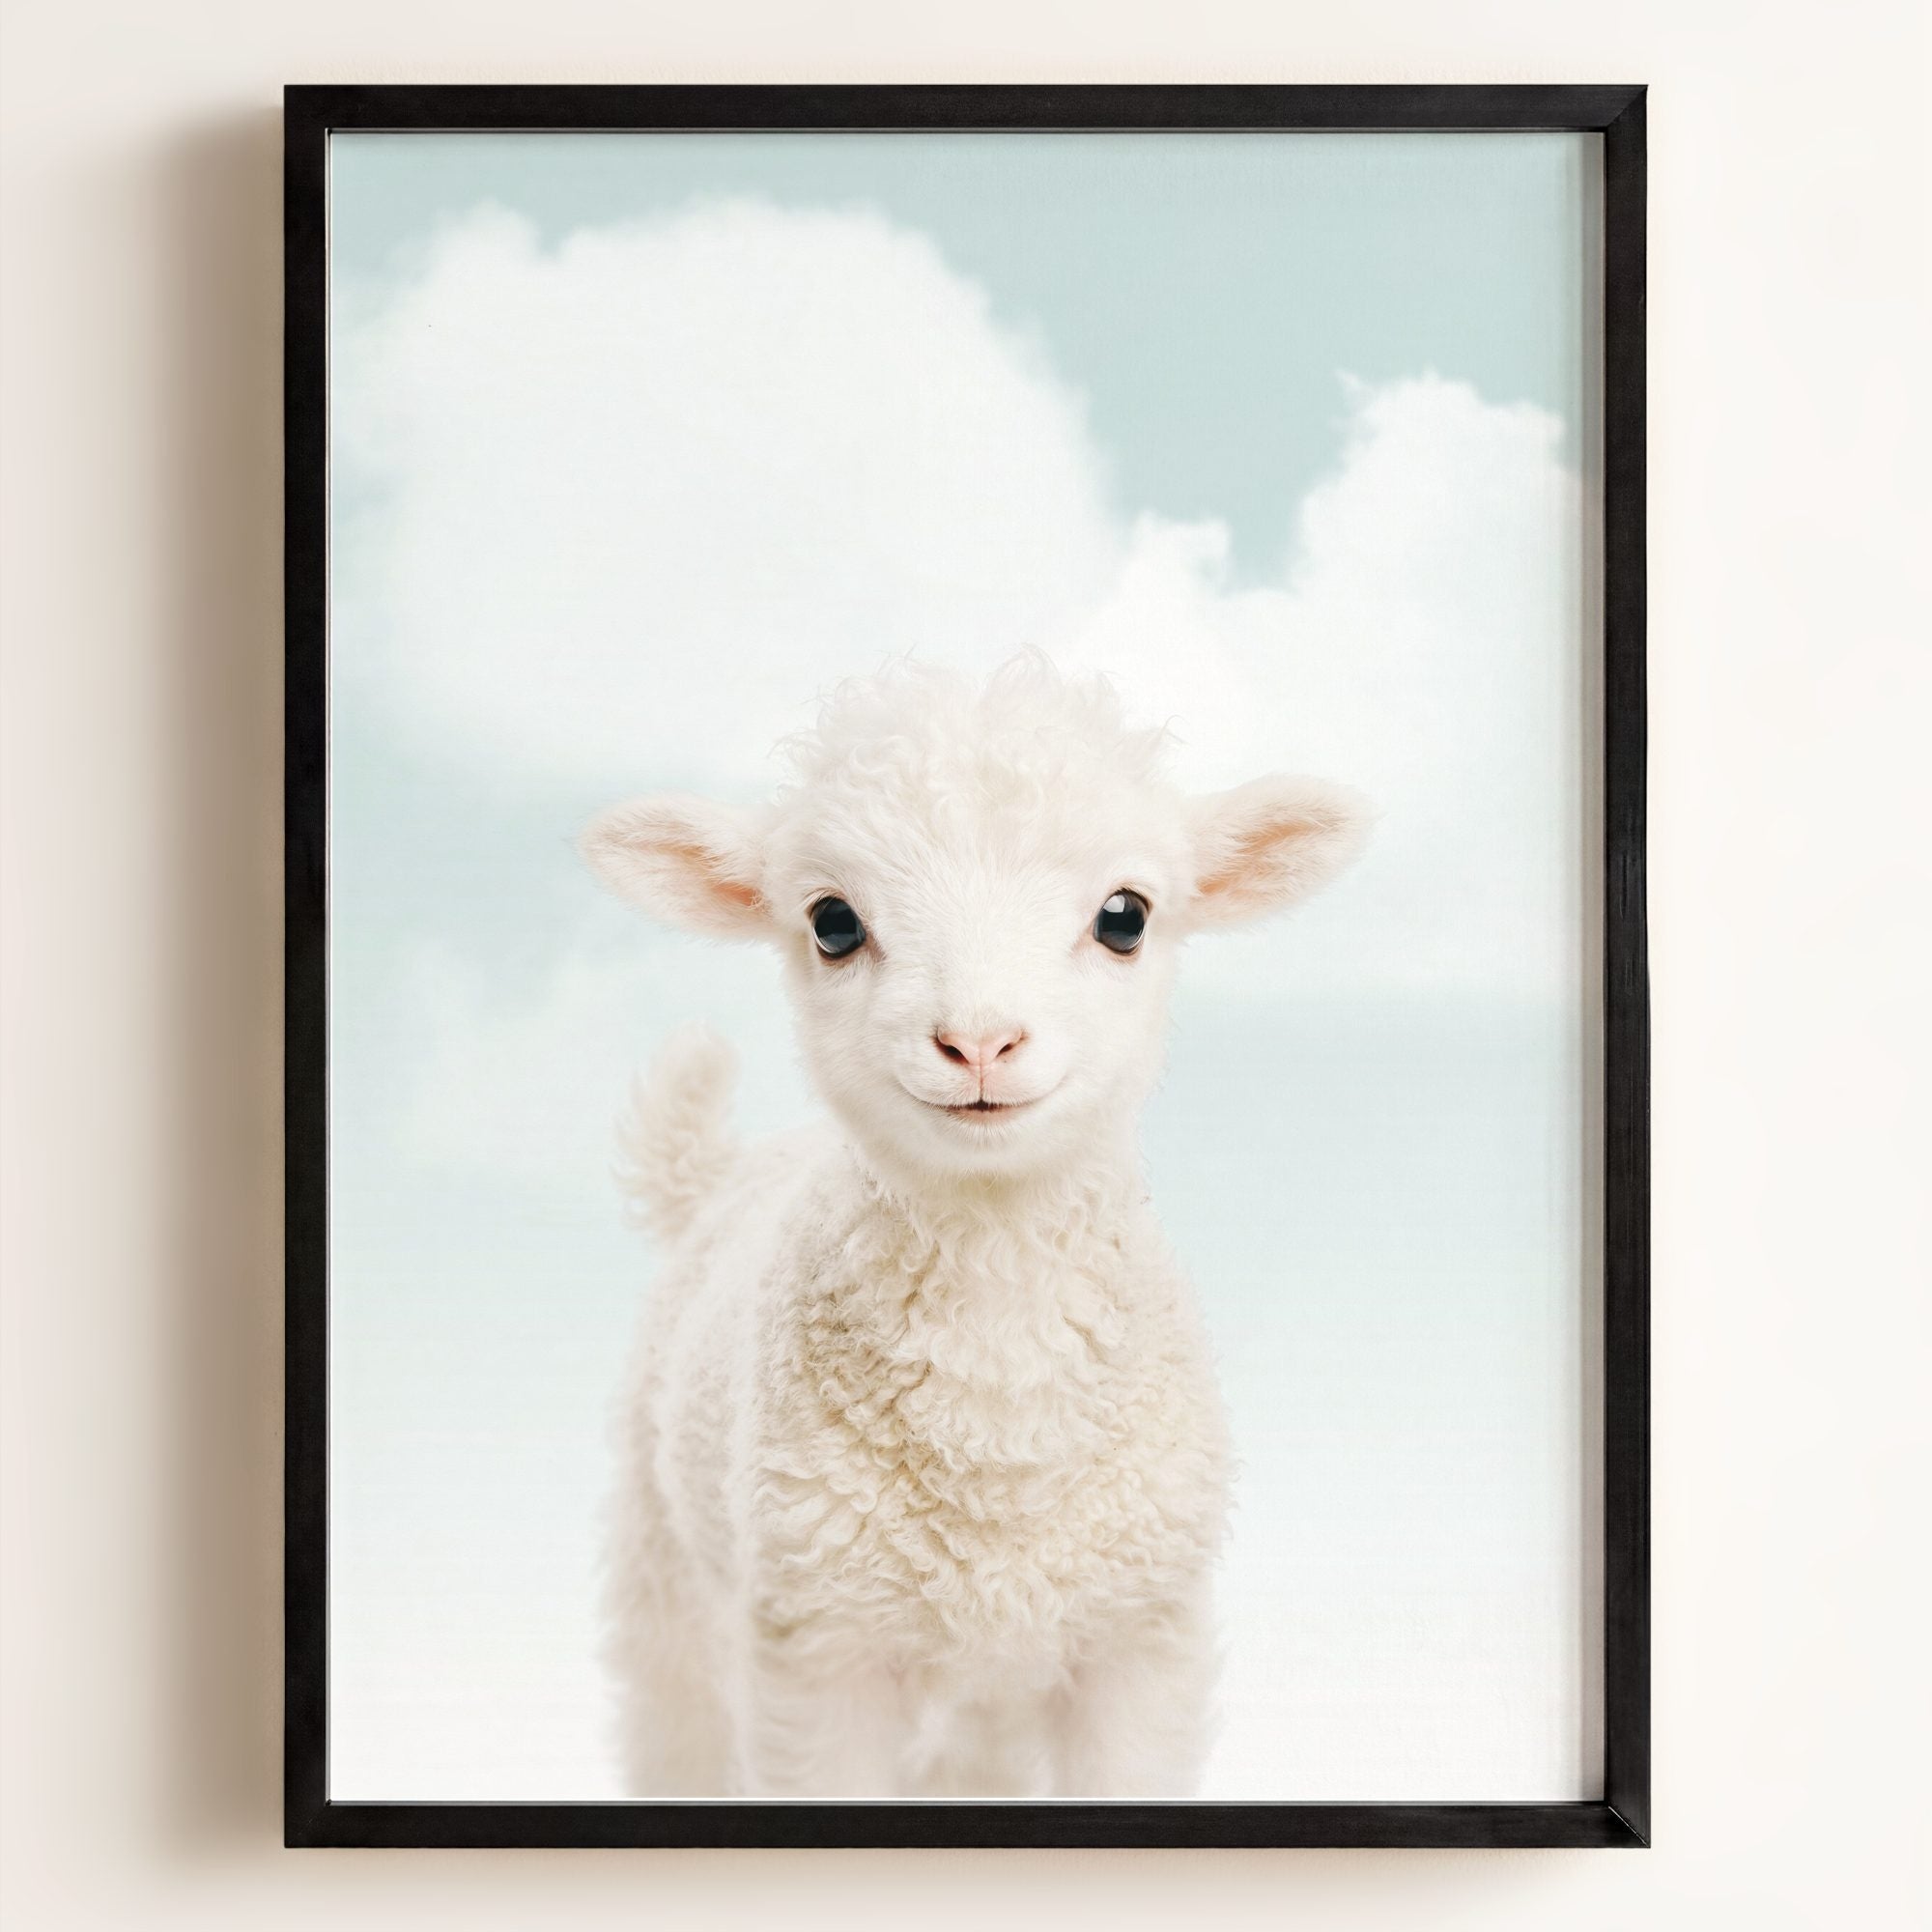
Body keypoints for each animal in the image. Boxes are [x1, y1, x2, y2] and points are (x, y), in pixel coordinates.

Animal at [580, 655, 1368, 1798]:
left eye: (1125, 915)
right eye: (831, 921)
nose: (980, 1040)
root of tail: (723, 1172)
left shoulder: (1139, 1639)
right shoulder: (817, 1651)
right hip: (667, 1568)